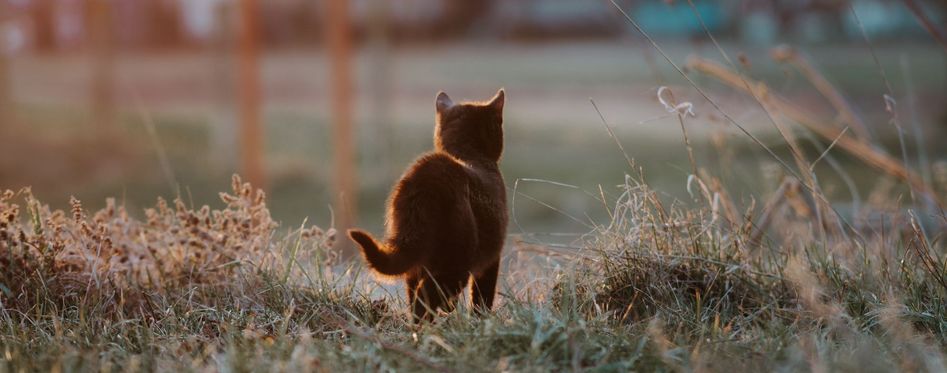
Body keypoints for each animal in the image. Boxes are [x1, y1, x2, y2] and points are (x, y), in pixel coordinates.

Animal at [348, 88, 512, 322]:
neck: (468, 154)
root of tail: (424, 178)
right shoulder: (491, 260)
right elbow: (482, 297)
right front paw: (480, 321)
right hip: (456, 259)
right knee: (426, 295)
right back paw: (425, 326)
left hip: (414, 255)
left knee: (415, 292)